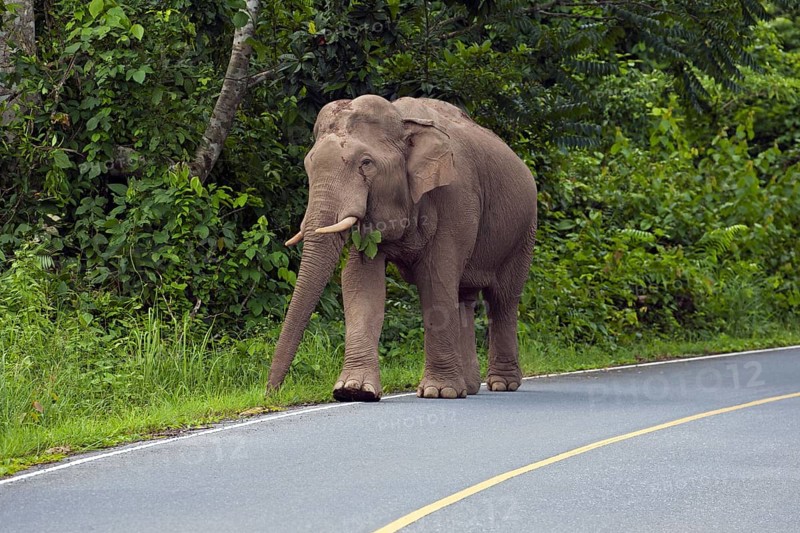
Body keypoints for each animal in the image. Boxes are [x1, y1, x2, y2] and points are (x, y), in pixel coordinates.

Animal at [266, 95, 537, 400]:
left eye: (366, 163)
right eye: (309, 165)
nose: (270, 393)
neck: (403, 121)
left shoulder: (456, 197)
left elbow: (436, 279)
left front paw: (438, 392)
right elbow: (360, 282)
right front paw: (354, 391)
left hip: (524, 231)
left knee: (502, 299)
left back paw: (502, 384)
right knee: (465, 297)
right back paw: (469, 387)